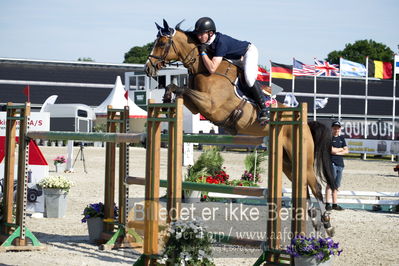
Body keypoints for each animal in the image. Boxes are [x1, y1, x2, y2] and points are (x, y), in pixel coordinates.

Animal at [145, 19, 336, 235]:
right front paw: (166, 98)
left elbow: (182, 89)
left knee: (316, 187)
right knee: (303, 188)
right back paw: (315, 224)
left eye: (161, 43)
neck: (204, 67)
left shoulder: (210, 104)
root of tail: (305, 122)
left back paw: (327, 224)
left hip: (303, 158)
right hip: (288, 162)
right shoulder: (196, 105)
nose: (147, 68)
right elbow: (178, 89)